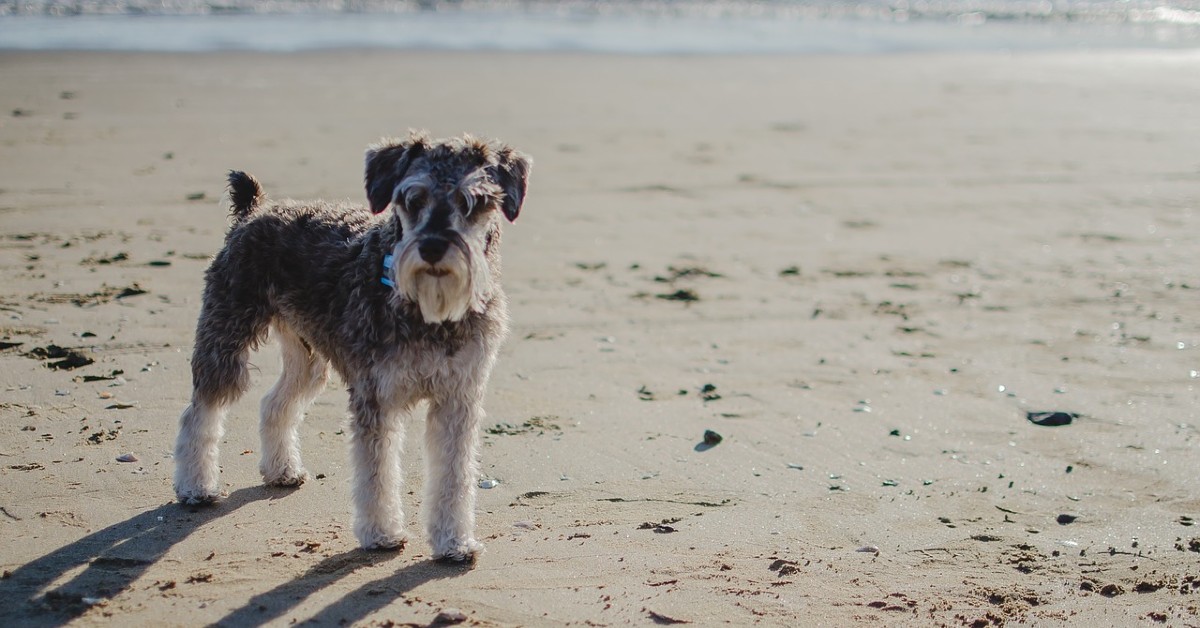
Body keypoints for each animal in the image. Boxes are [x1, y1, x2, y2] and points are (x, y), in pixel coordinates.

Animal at [171, 131, 532, 559]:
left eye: (470, 202)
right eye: (413, 199)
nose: (431, 248)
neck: (429, 311)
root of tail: (253, 211)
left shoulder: (458, 398)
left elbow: (454, 475)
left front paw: (454, 542)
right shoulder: (377, 397)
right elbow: (376, 473)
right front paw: (381, 534)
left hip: (308, 358)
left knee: (275, 403)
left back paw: (281, 470)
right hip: (225, 338)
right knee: (200, 412)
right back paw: (195, 488)